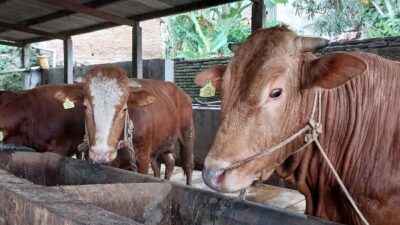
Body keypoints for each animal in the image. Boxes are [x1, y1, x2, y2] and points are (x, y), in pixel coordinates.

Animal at [56, 67, 194, 185]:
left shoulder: (143, 157)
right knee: (167, 163)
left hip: (187, 133)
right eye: (85, 107)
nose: (101, 154)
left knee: (188, 165)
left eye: (124, 109)